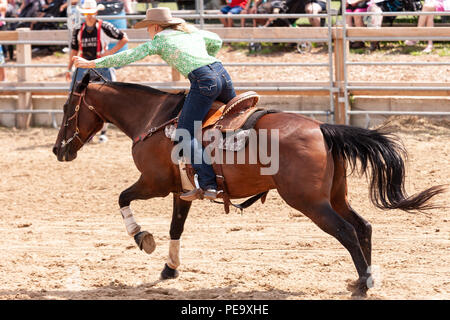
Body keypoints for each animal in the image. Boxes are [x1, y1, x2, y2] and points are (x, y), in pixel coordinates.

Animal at [52, 71, 442, 296]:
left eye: (67, 108)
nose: (58, 150)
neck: (154, 119)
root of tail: (321, 128)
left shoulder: (154, 183)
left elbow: (122, 198)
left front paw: (142, 238)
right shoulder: (182, 191)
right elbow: (176, 227)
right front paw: (169, 269)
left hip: (311, 203)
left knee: (346, 231)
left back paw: (362, 285)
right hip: (335, 195)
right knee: (363, 226)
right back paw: (369, 277)